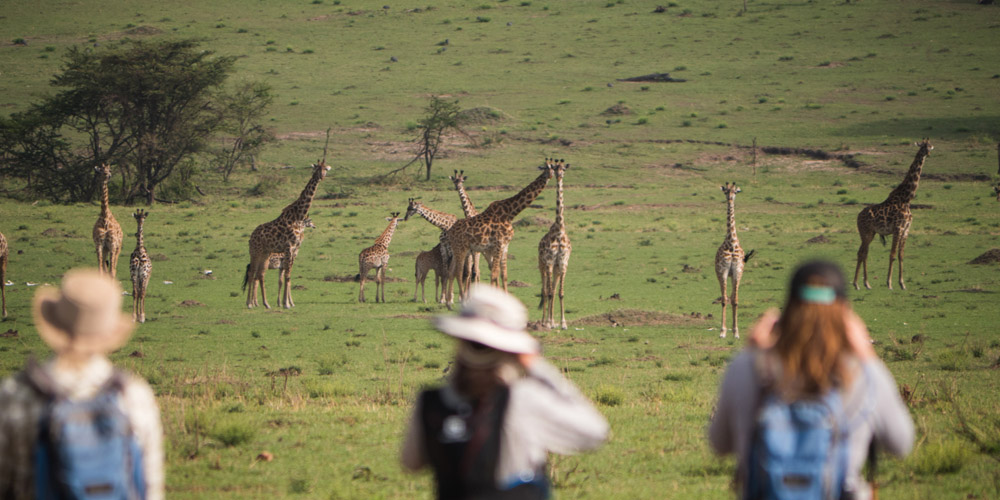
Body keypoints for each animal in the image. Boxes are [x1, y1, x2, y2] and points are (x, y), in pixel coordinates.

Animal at [245, 162, 330, 309]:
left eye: (325, 168)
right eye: (318, 168)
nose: (322, 177)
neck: (298, 217)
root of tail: (251, 237)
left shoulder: (293, 250)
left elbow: (287, 277)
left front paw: (286, 302)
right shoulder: (289, 248)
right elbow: (287, 277)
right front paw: (286, 303)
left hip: (265, 253)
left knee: (259, 274)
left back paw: (265, 304)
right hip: (255, 252)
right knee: (252, 273)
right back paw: (250, 303)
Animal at [442, 160, 555, 305]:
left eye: (554, 167)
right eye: (546, 168)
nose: (551, 175)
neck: (510, 213)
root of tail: (450, 231)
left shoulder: (504, 246)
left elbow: (503, 274)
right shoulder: (498, 245)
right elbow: (494, 273)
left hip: (461, 250)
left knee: (454, 271)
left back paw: (451, 301)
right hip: (461, 249)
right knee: (459, 272)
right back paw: (461, 300)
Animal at [854, 139, 933, 290]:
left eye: (930, 145)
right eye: (923, 146)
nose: (929, 152)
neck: (907, 199)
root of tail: (858, 217)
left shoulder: (906, 229)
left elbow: (901, 255)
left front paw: (902, 283)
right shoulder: (898, 228)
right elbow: (892, 254)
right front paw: (889, 283)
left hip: (871, 233)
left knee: (864, 253)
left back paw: (866, 283)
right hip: (865, 232)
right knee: (861, 253)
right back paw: (857, 284)